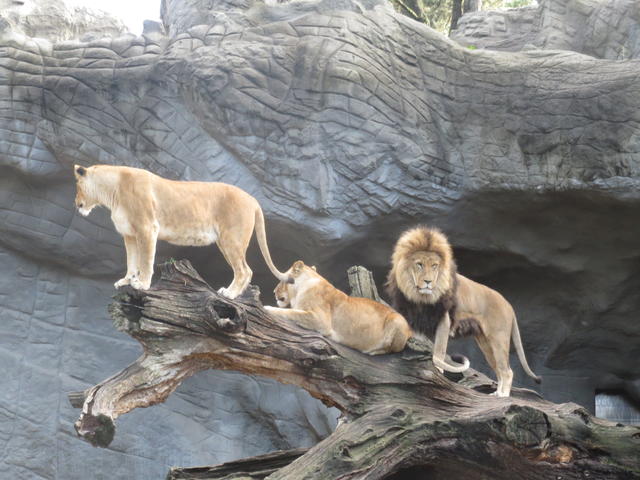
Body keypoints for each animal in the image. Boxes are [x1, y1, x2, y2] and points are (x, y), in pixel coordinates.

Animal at [73, 164, 289, 298]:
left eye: (77, 186)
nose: (76, 204)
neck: (112, 192)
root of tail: (253, 200)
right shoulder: (129, 234)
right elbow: (131, 261)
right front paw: (127, 281)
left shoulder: (147, 228)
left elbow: (145, 260)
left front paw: (142, 284)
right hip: (224, 241)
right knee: (246, 270)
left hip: (231, 240)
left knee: (244, 270)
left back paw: (230, 294)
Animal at [385, 226, 541, 397]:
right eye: (419, 264)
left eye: (434, 266)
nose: (428, 282)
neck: (420, 297)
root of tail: (509, 305)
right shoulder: (414, 320)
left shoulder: (444, 320)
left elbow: (438, 353)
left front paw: (438, 373)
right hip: (486, 343)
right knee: (499, 369)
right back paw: (496, 394)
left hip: (498, 338)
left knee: (507, 371)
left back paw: (503, 396)